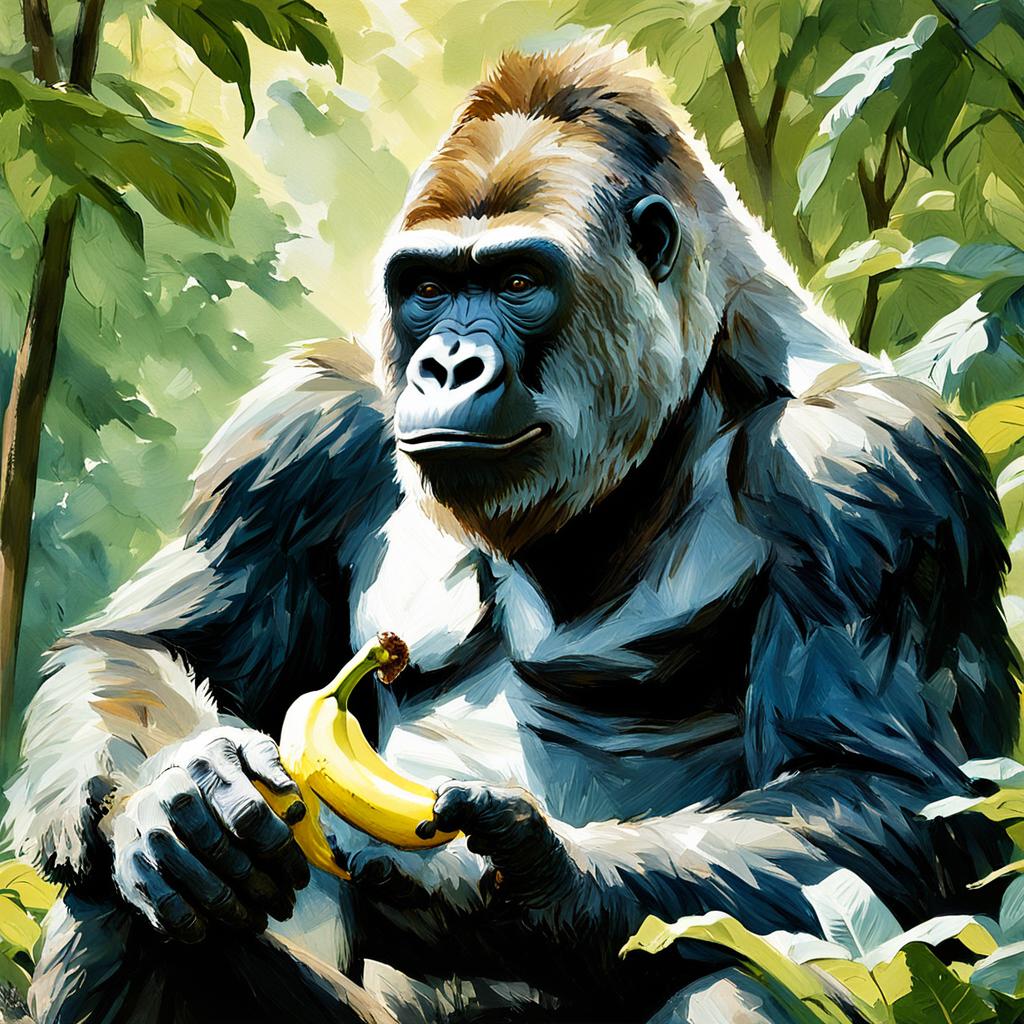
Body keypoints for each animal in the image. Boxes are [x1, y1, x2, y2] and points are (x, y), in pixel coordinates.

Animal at [4, 42, 1019, 1024]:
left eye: (518, 280)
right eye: (427, 286)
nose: (445, 365)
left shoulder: (872, 467)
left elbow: (884, 794)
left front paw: (521, 888)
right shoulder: (299, 434)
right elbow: (143, 643)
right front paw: (176, 795)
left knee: (751, 964)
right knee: (114, 907)